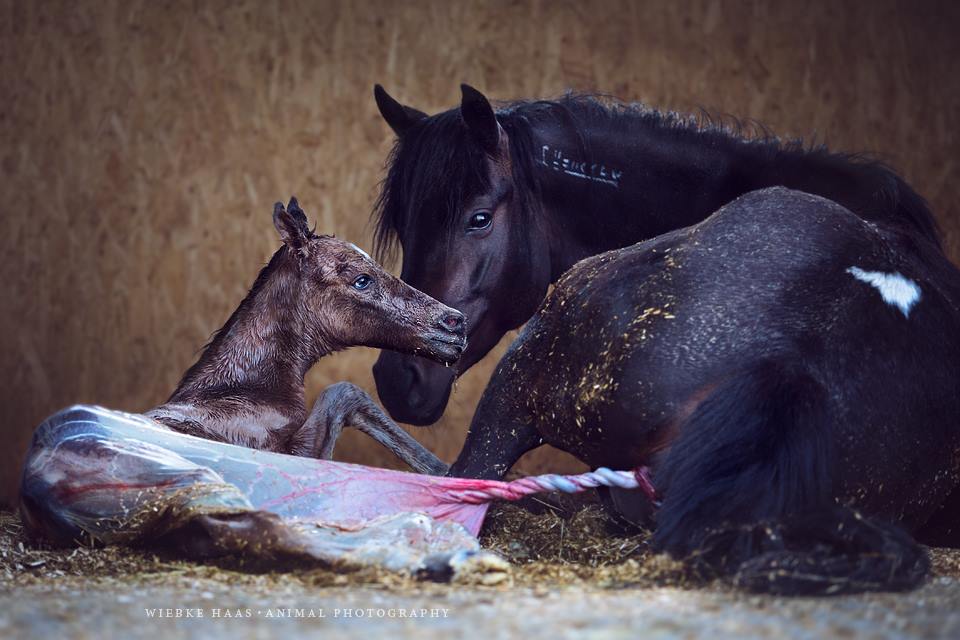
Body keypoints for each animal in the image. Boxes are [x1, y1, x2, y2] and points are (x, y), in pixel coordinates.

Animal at [148, 200, 464, 476]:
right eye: (362, 280)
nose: (455, 324)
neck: (235, 390)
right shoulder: (293, 454)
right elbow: (344, 392)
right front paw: (443, 470)